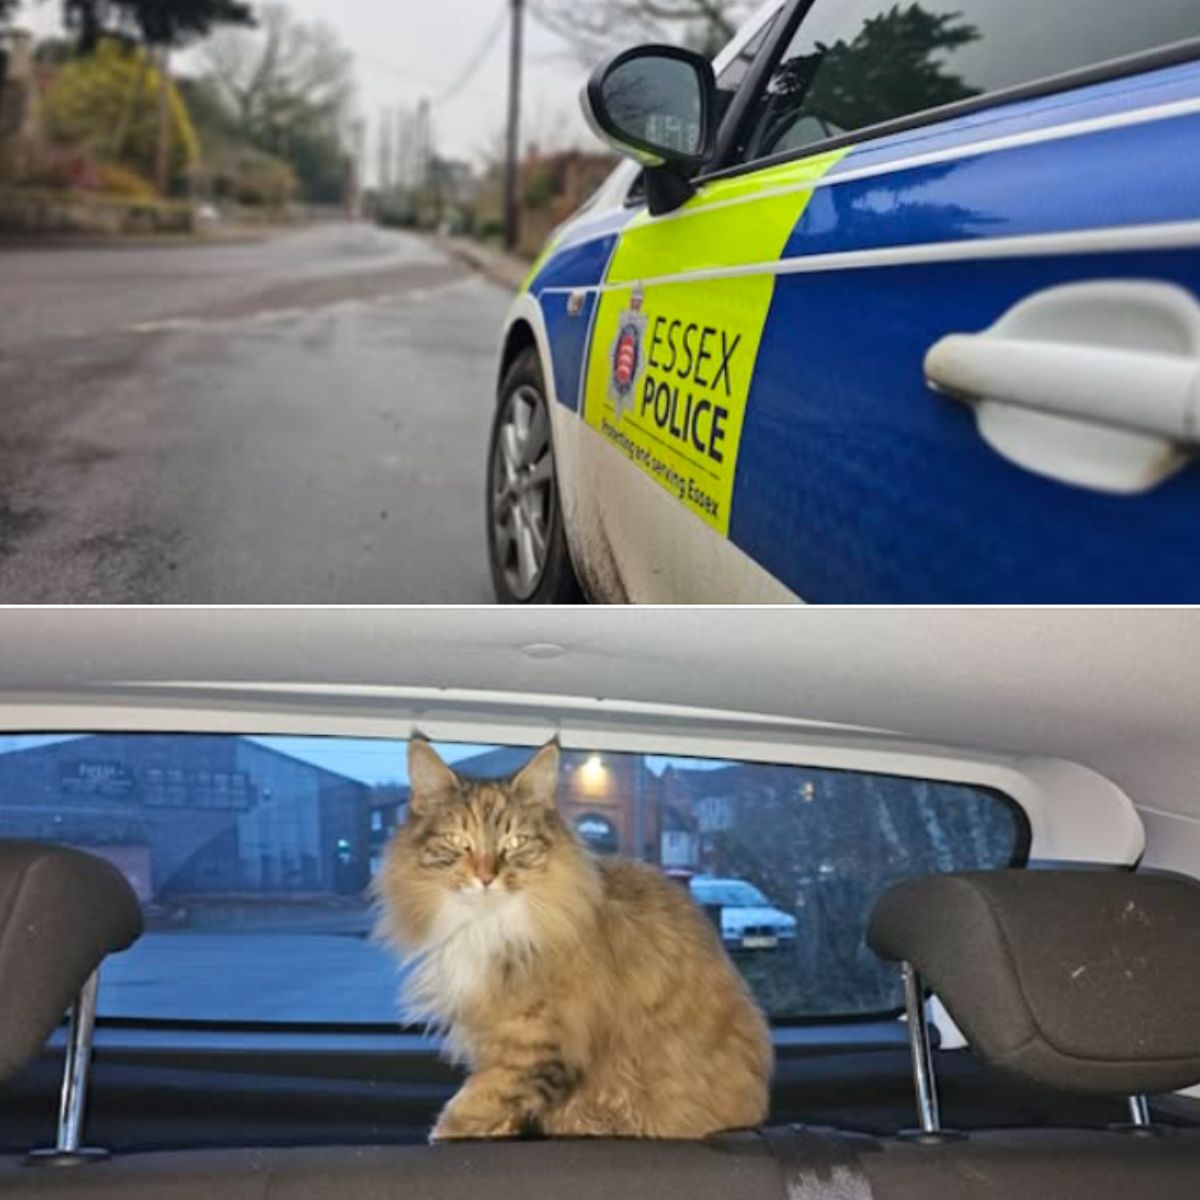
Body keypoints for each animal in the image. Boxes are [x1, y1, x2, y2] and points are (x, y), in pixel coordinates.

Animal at [369, 734, 772, 1137]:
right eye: (457, 840)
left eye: (514, 843)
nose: (486, 877)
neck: (487, 925)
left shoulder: (532, 1042)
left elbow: (473, 1107)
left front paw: (451, 1133)